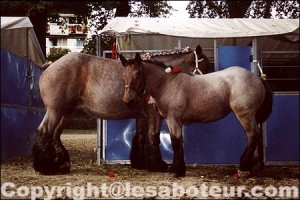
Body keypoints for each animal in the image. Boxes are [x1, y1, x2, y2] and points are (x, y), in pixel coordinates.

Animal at [32, 44, 209, 174]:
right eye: (205, 64)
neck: (159, 77)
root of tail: (50, 66)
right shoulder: (154, 115)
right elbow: (154, 137)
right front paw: (158, 165)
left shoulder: (142, 116)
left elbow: (141, 136)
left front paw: (140, 162)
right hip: (55, 110)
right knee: (45, 131)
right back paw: (45, 167)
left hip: (67, 112)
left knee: (55, 134)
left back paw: (62, 164)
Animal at [120, 52, 274, 177]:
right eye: (124, 76)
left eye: (137, 74)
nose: (128, 100)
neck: (167, 83)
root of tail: (257, 78)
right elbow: (174, 141)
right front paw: (179, 169)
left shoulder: (173, 119)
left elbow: (175, 141)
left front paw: (176, 170)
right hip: (252, 116)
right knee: (257, 135)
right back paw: (256, 169)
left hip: (244, 115)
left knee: (252, 136)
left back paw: (243, 167)